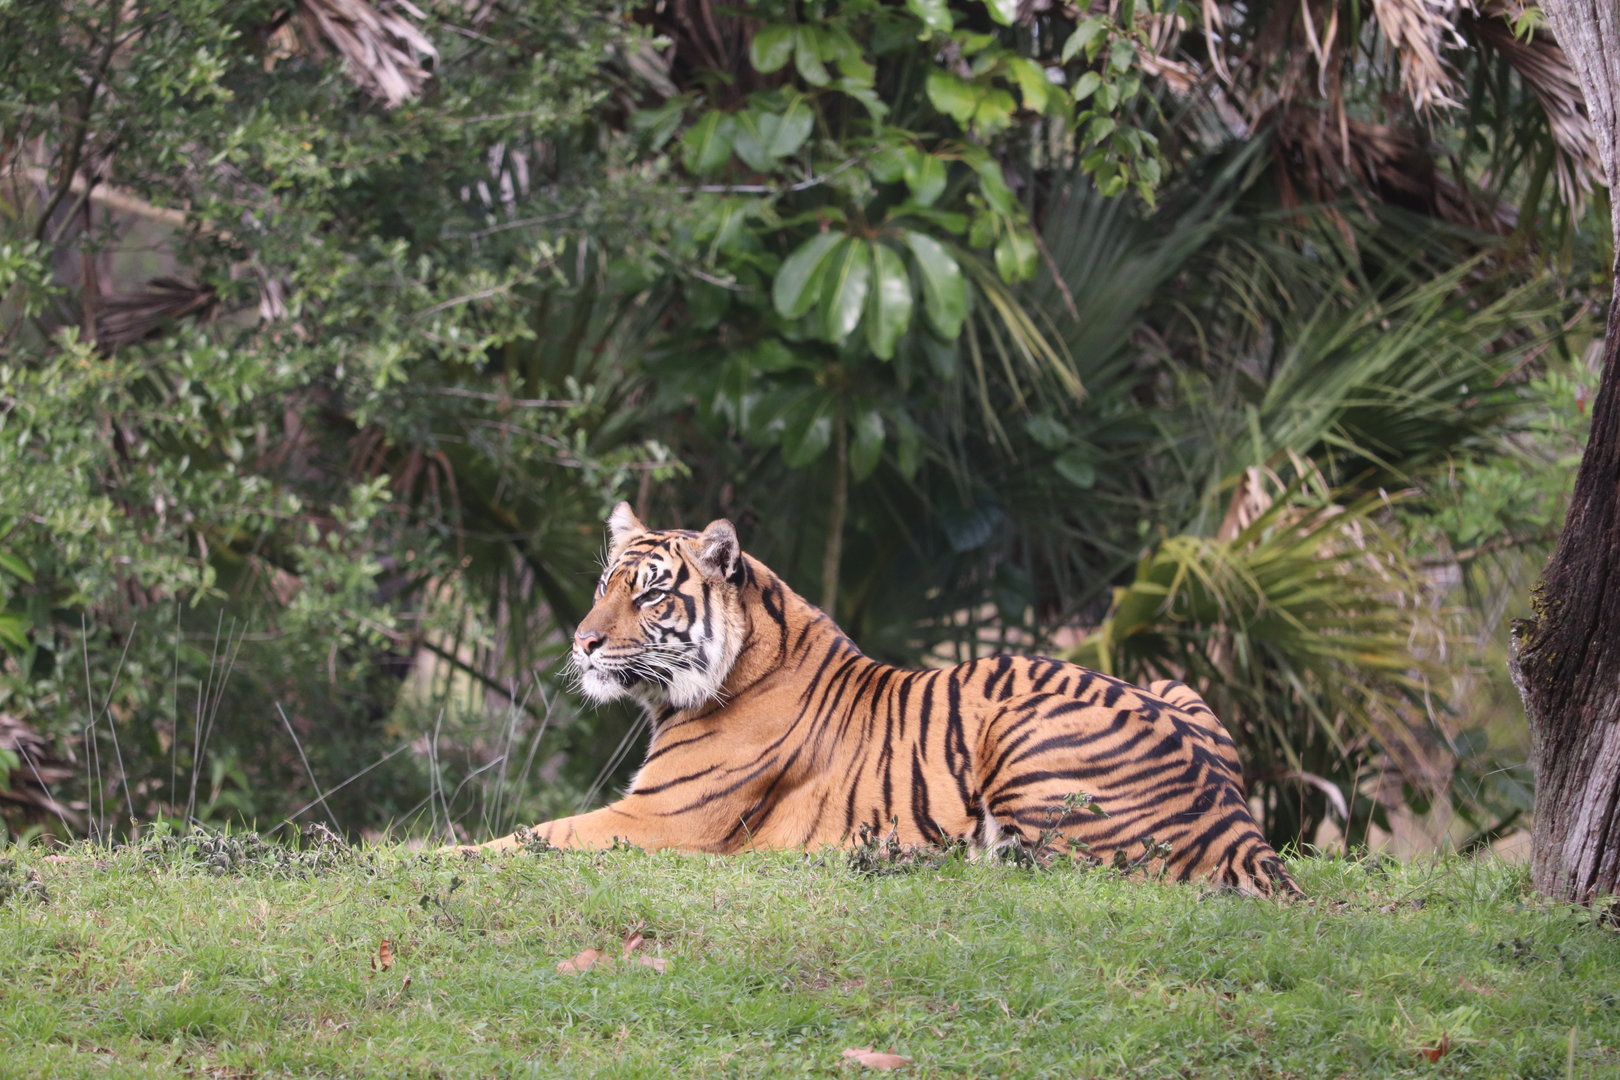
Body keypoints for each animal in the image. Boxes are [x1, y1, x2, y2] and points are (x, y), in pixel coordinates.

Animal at [476, 502, 1301, 897]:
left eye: (650, 596)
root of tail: (1238, 824)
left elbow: (523, 838)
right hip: (1177, 684)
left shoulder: (654, 819)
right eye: (603, 584)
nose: (582, 642)